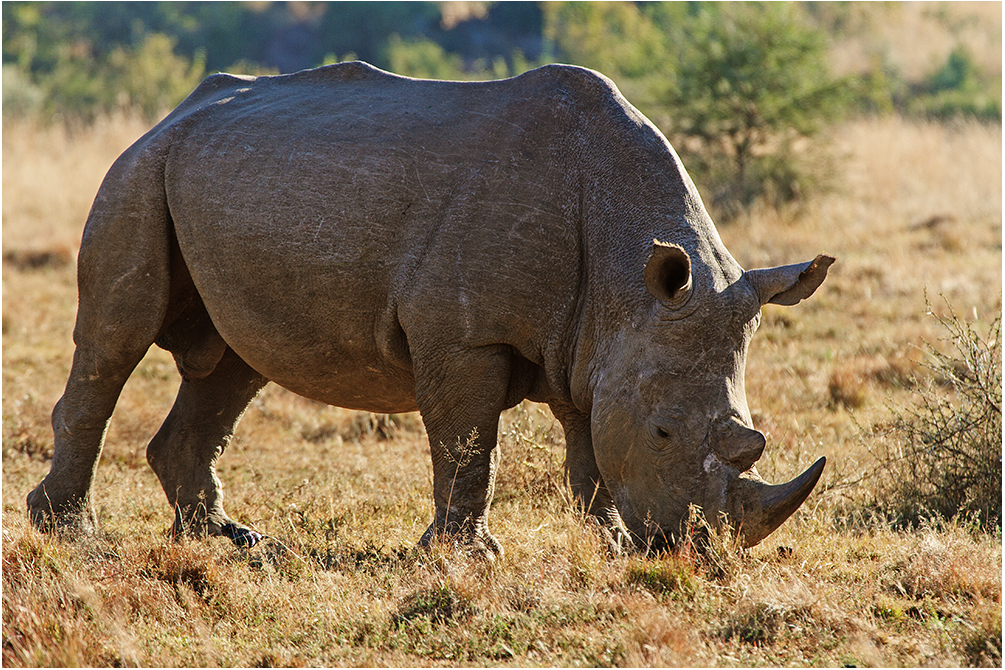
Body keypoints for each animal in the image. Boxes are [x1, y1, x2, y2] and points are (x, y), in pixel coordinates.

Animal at [27, 62, 836, 554]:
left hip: (215, 180)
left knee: (232, 364)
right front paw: (466, 556)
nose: (694, 553)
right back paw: (72, 534)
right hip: (138, 173)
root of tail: (171, 114)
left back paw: (231, 540)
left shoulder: (594, 341)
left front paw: (608, 545)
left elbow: (589, 450)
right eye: (665, 431)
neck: (628, 274)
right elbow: (468, 442)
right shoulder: (463, 332)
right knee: (116, 337)